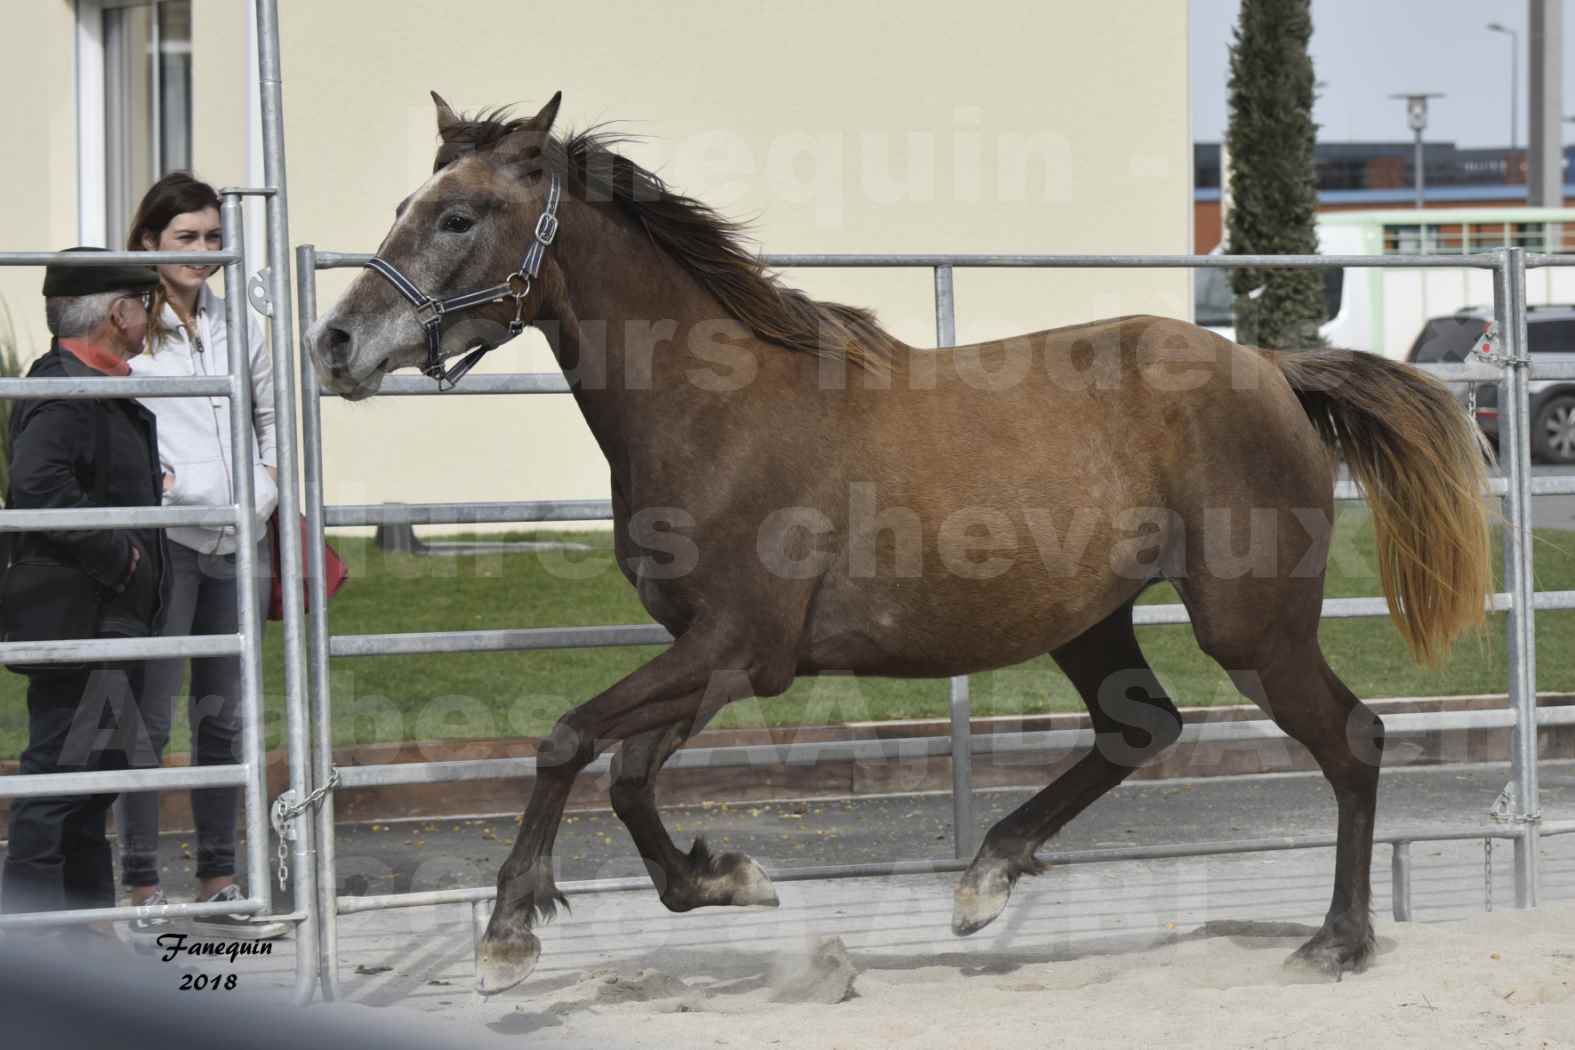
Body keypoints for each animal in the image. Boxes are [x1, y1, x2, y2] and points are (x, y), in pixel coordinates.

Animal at [303, 90, 1486, 994]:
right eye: (409, 205)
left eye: (459, 217)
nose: (335, 343)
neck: (714, 405)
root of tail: (1273, 371)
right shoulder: (715, 656)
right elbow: (629, 773)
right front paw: (725, 876)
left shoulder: (737, 649)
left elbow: (565, 738)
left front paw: (508, 934)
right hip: (1088, 618)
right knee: (1140, 729)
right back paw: (984, 881)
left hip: (1250, 625)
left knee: (1353, 739)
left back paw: (1337, 942)